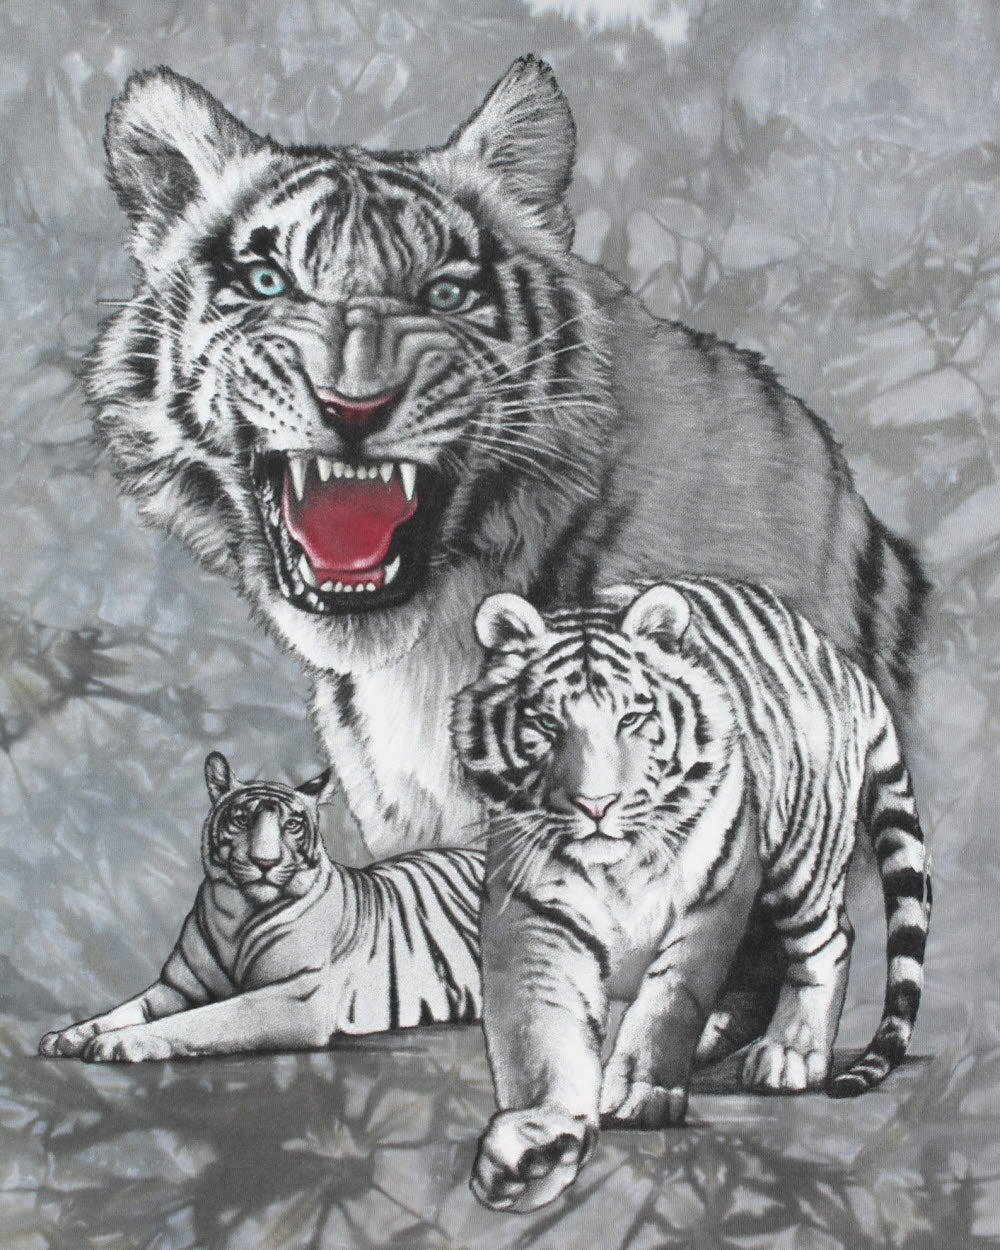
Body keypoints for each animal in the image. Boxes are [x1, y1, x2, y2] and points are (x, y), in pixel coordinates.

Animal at [38, 753, 482, 1063]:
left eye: (292, 825)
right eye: (241, 820)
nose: (264, 862)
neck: (236, 913)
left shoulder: (296, 996)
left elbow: (203, 1020)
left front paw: (121, 1041)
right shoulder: (176, 988)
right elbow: (123, 1010)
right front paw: (69, 1036)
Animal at [451, 579, 931, 1213]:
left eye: (632, 717)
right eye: (547, 724)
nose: (596, 805)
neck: (618, 867)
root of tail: (844, 666)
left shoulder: (713, 895)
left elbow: (670, 1000)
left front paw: (641, 1091)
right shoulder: (536, 914)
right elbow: (540, 1030)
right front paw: (540, 1139)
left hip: (801, 859)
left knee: (827, 941)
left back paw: (790, 1052)